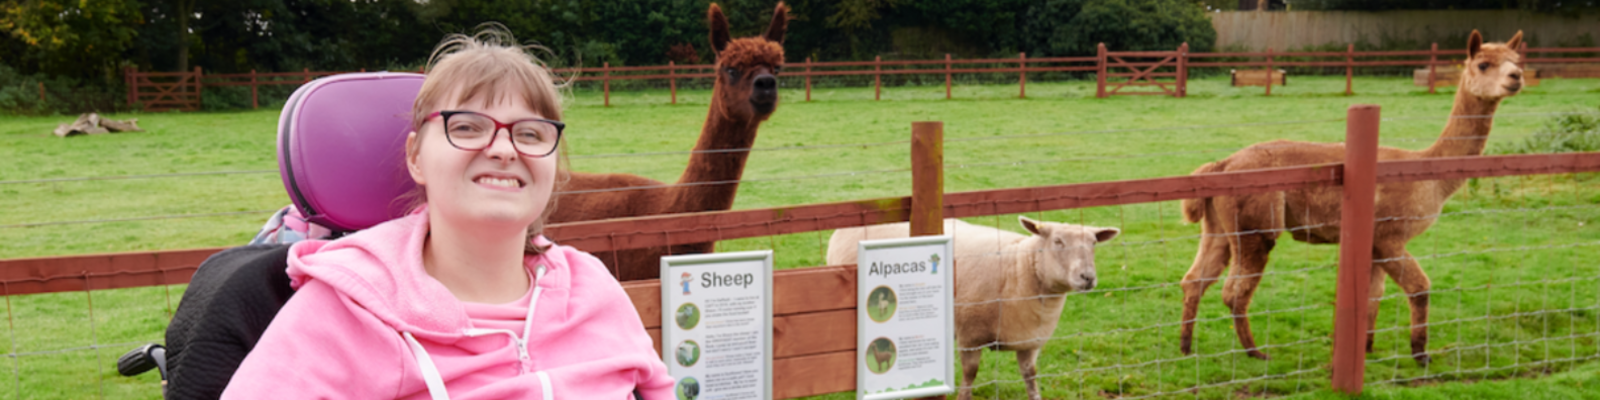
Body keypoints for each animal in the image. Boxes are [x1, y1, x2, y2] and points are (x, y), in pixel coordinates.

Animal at [832, 217, 1120, 400]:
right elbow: (970, 374)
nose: (1087, 277)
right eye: (1058, 241)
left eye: (1094, 243)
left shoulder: (1029, 340)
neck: (1019, 267)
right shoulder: (970, 335)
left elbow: (1031, 377)